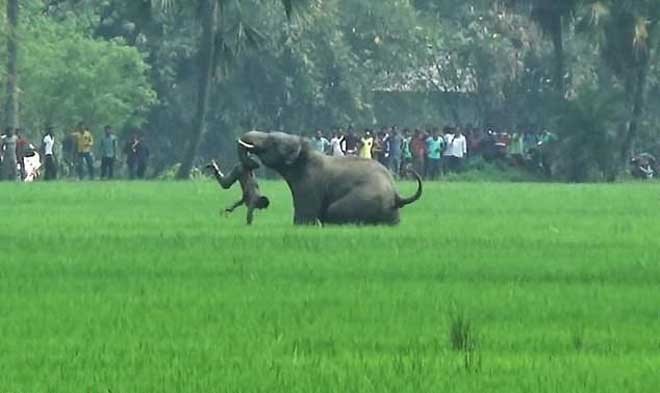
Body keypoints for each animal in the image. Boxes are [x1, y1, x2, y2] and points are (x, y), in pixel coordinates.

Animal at [237, 130, 422, 225]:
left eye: (272, 142)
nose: (252, 163)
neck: (305, 153)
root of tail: (397, 196)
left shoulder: (309, 184)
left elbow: (304, 216)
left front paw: (303, 225)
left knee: (334, 210)